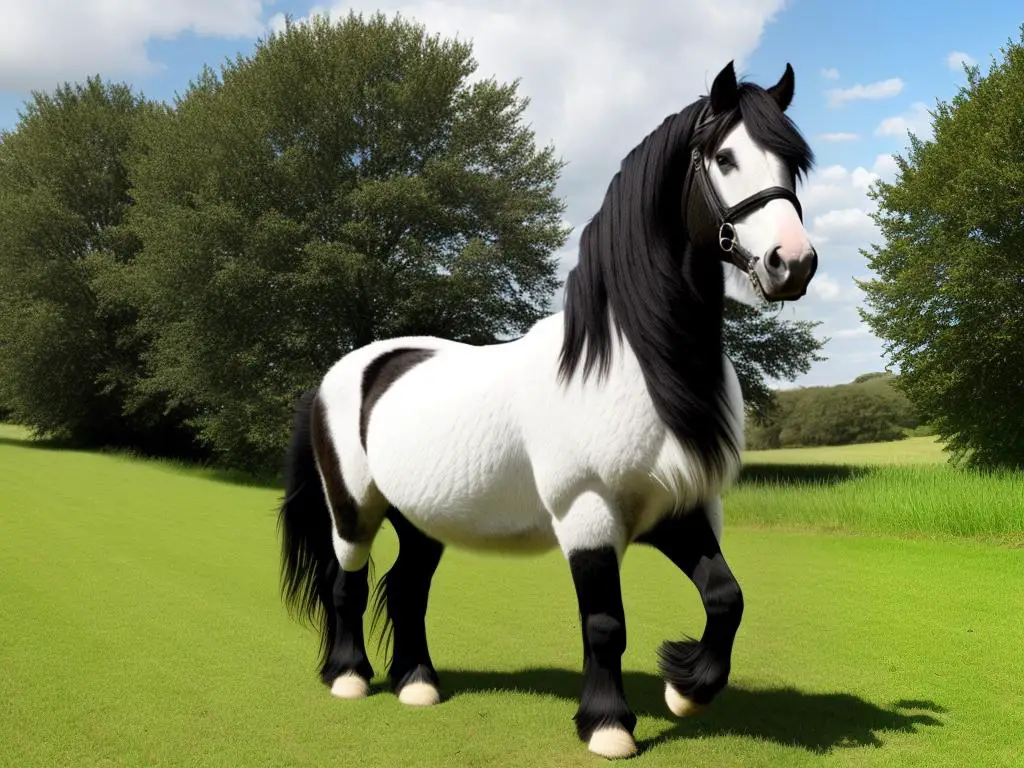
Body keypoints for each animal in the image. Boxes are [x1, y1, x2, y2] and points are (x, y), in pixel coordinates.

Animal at [278, 58, 815, 757]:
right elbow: (606, 622)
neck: (626, 362)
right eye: (725, 158)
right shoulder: (587, 514)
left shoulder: (680, 510)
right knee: (349, 583)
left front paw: (686, 688)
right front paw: (609, 725)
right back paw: (348, 677)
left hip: (421, 520)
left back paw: (418, 684)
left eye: (793, 164)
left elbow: (727, 598)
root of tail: (342, 373)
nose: (793, 263)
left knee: (407, 590)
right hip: (354, 510)